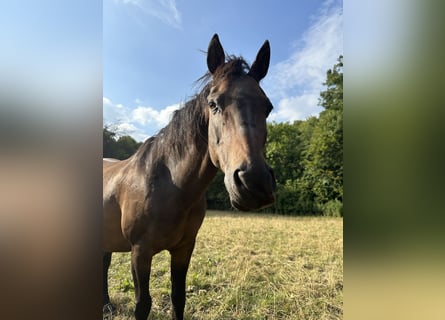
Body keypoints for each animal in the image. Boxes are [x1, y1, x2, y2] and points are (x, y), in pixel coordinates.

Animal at [103, 35, 276, 320]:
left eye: (268, 108)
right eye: (213, 104)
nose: (255, 183)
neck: (169, 186)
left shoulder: (184, 248)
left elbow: (178, 298)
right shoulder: (140, 252)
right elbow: (142, 305)